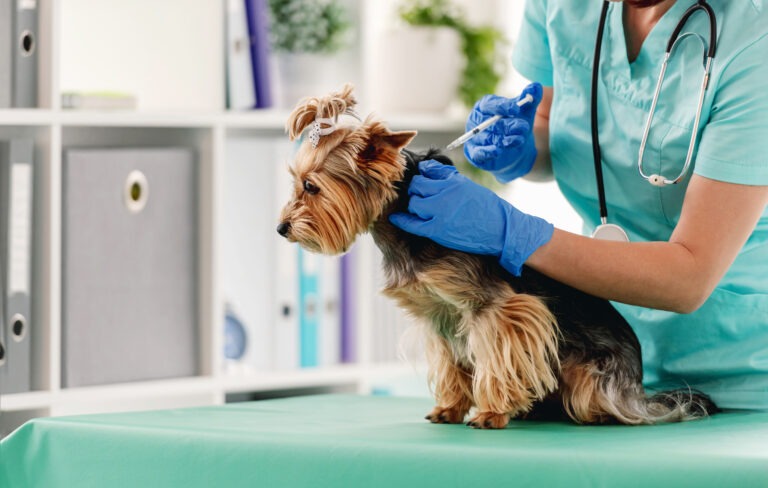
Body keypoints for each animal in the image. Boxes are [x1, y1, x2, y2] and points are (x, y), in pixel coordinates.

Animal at [274, 86, 712, 428]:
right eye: (294, 183)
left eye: (311, 187)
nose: (281, 228)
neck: (399, 215)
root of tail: (636, 387)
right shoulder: (440, 314)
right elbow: (453, 362)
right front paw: (451, 407)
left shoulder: (494, 308)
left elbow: (497, 356)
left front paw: (492, 412)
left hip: (591, 375)